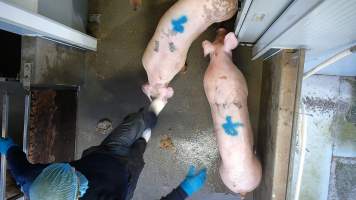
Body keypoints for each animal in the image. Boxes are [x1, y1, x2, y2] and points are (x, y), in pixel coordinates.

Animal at [203, 27, 262, 197]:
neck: (219, 59)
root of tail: (242, 189)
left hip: (222, 173)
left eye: (217, 37)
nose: (221, 28)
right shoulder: (240, 78)